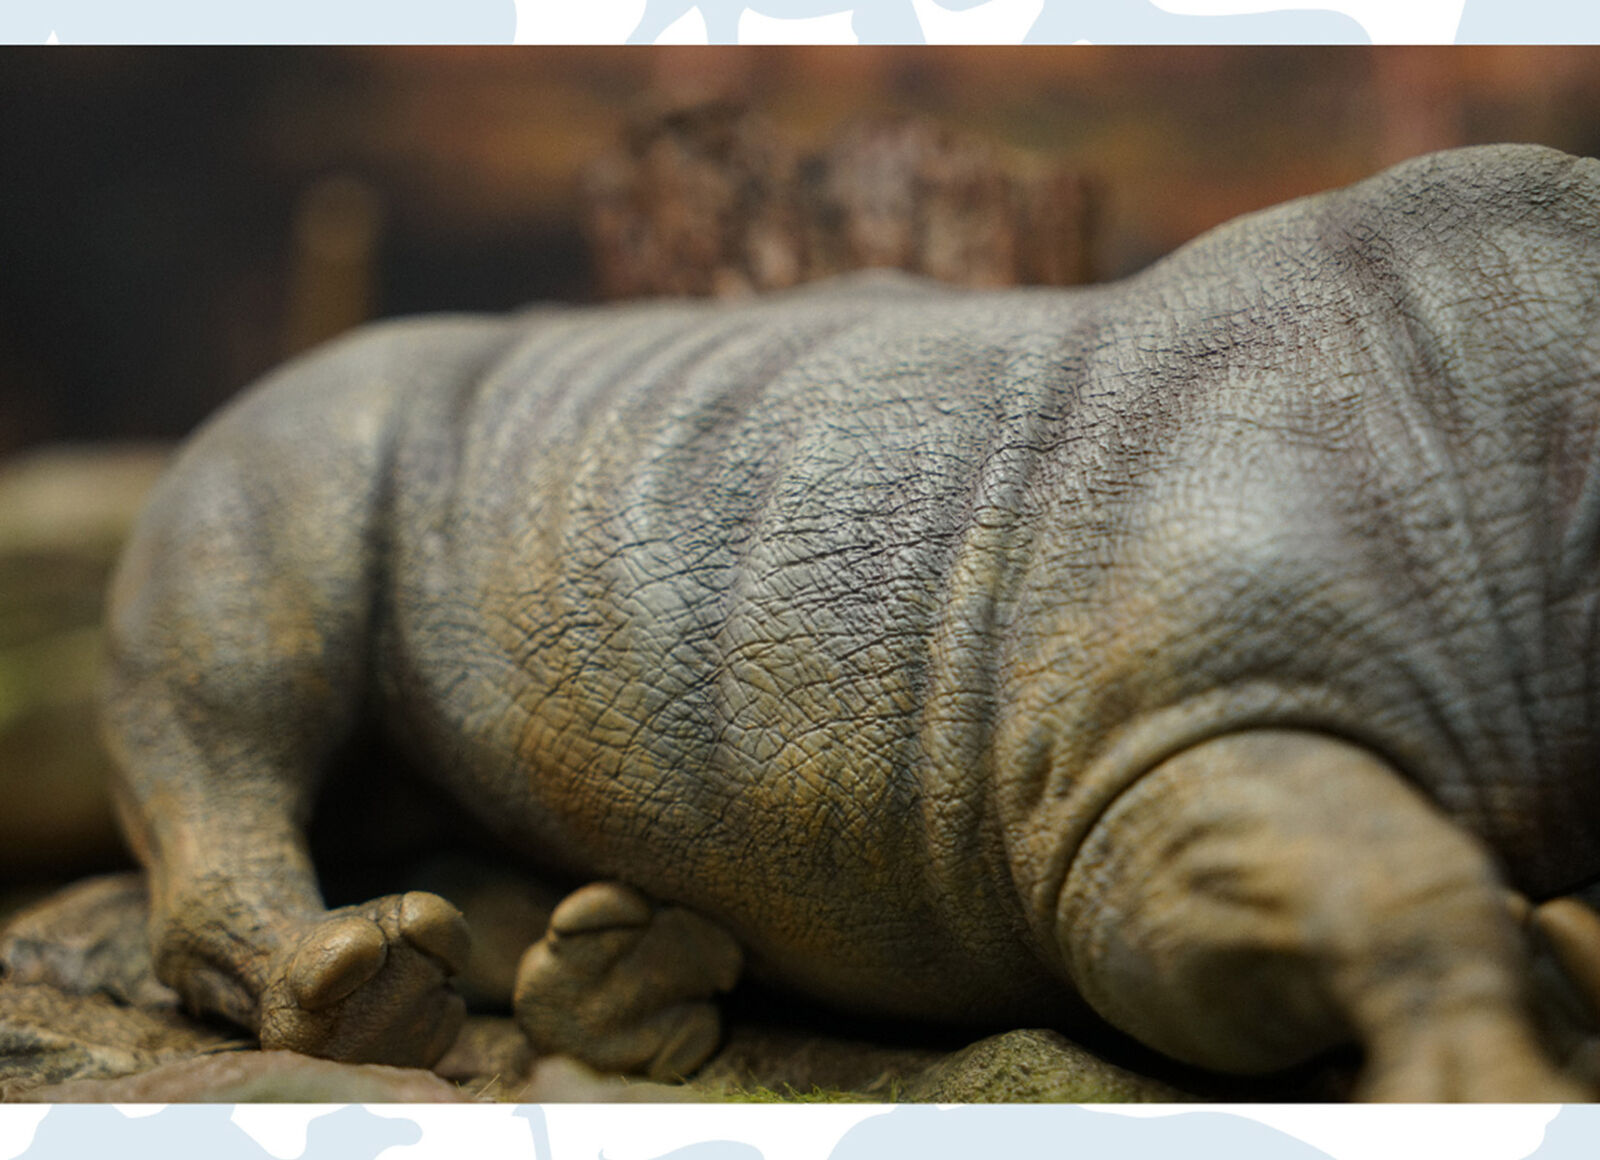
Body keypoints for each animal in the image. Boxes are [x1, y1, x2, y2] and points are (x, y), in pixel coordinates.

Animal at [101, 143, 1600, 1099]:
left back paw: (620, 975)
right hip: (297, 431)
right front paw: (1485, 1092)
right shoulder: (1157, 742)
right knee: (239, 681)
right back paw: (374, 990)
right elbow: (1378, 883)